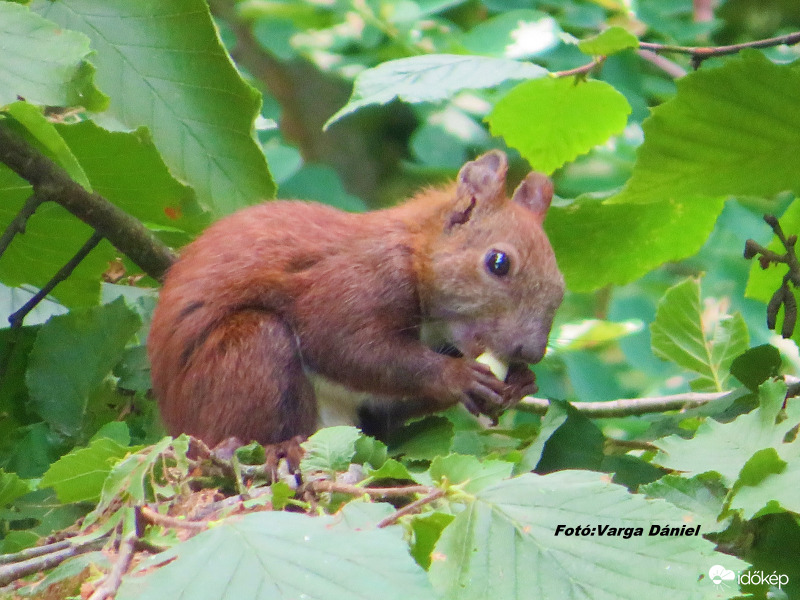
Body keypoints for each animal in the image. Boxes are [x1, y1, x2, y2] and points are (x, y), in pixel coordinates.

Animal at [148, 152, 564, 448]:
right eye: (498, 262)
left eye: (561, 290)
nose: (530, 351)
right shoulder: (355, 282)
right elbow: (341, 344)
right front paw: (456, 375)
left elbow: (388, 404)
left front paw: (522, 381)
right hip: (243, 357)